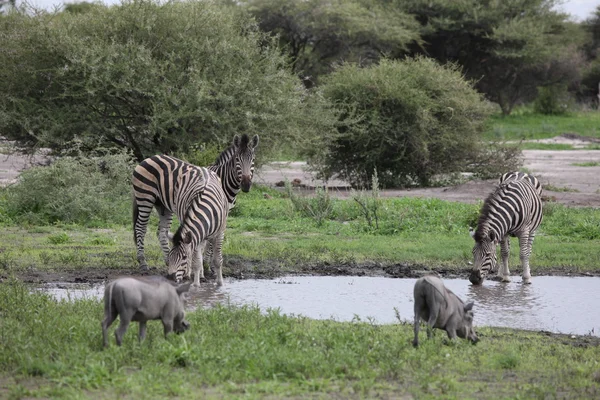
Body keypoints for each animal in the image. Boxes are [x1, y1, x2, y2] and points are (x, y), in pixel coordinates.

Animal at [132, 155, 229, 286]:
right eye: (174, 256)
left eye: (183, 257)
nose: (169, 278)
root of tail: (152, 157)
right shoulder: (195, 232)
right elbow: (197, 260)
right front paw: (196, 283)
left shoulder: (219, 233)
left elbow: (217, 259)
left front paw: (219, 283)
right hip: (145, 197)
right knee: (140, 228)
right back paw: (143, 263)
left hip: (163, 206)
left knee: (162, 232)